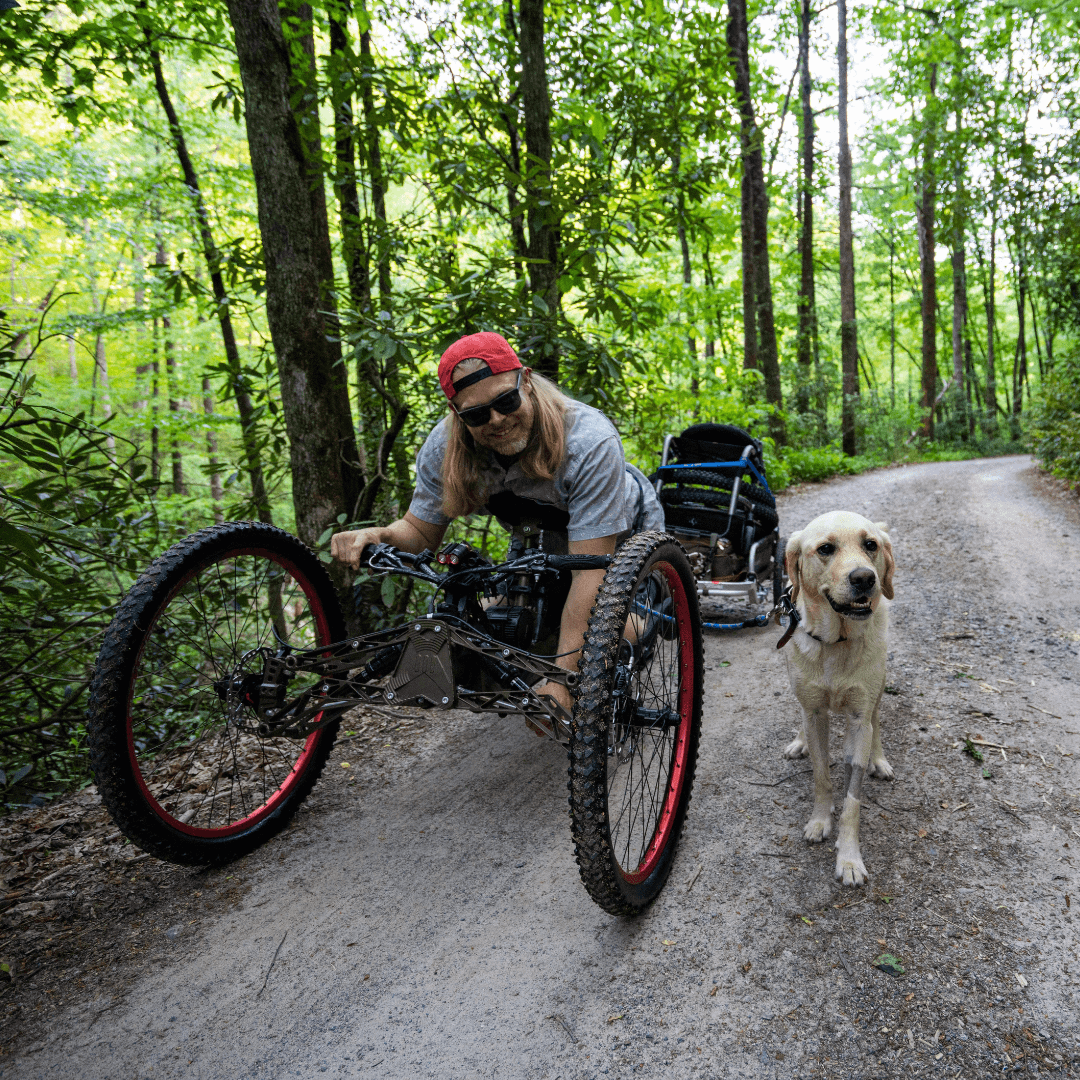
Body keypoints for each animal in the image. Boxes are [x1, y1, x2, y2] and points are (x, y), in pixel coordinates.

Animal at [781, 511, 889, 885]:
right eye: (826, 549)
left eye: (870, 544)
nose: (865, 578)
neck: (836, 643)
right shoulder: (814, 712)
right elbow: (821, 776)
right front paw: (819, 820)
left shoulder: (858, 718)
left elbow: (852, 801)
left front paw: (849, 858)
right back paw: (798, 741)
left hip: (879, 688)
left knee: (876, 721)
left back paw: (878, 758)